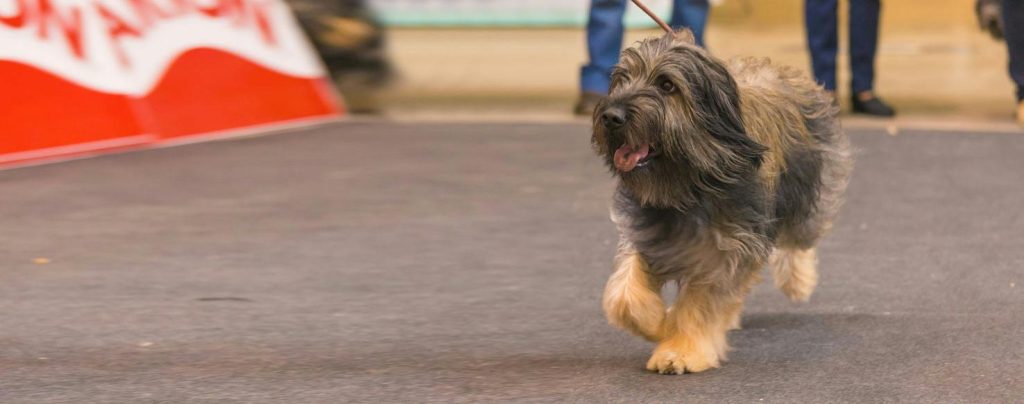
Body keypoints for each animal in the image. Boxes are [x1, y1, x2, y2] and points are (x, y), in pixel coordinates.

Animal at [589, 30, 851, 374]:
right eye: (622, 79)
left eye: (667, 85)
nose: (611, 116)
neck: (688, 186)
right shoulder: (647, 232)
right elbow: (624, 294)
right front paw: (657, 323)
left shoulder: (727, 249)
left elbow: (700, 304)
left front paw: (680, 350)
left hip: (806, 189)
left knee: (800, 240)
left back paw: (798, 281)